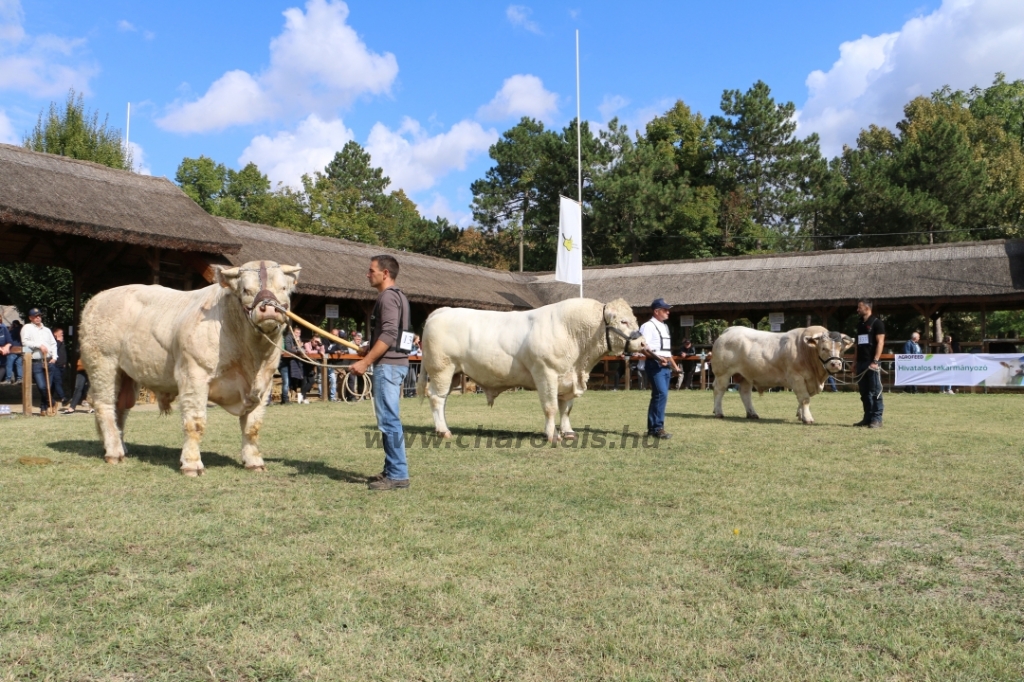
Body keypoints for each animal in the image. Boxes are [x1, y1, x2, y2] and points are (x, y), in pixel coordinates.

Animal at [79, 259, 299, 473]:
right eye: (246, 290)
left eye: (284, 288)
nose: (268, 309)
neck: (251, 358)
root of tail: (97, 298)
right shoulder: (194, 374)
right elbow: (195, 422)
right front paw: (192, 464)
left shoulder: (264, 383)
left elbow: (253, 426)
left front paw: (254, 461)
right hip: (103, 364)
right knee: (105, 405)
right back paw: (114, 452)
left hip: (128, 374)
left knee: (121, 408)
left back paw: (120, 447)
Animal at [413, 296, 638, 440]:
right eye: (623, 321)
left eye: (634, 319)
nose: (642, 342)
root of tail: (442, 311)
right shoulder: (546, 373)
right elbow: (550, 407)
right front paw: (552, 435)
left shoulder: (568, 379)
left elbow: (566, 408)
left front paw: (568, 432)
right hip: (441, 369)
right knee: (436, 398)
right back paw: (444, 431)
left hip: (453, 374)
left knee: (442, 400)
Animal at [708, 325, 851, 425]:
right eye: (823, 348)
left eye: (841, 349)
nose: (835, 364)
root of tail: (730, 330)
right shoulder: (796, 377)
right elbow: (805, 398)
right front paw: (808, 418)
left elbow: (802, 399)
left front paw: (800, 415)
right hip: (722, 374)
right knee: (719, 390)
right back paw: (718, 412)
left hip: (746, 376)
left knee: (745, 393)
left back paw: (752, 413)